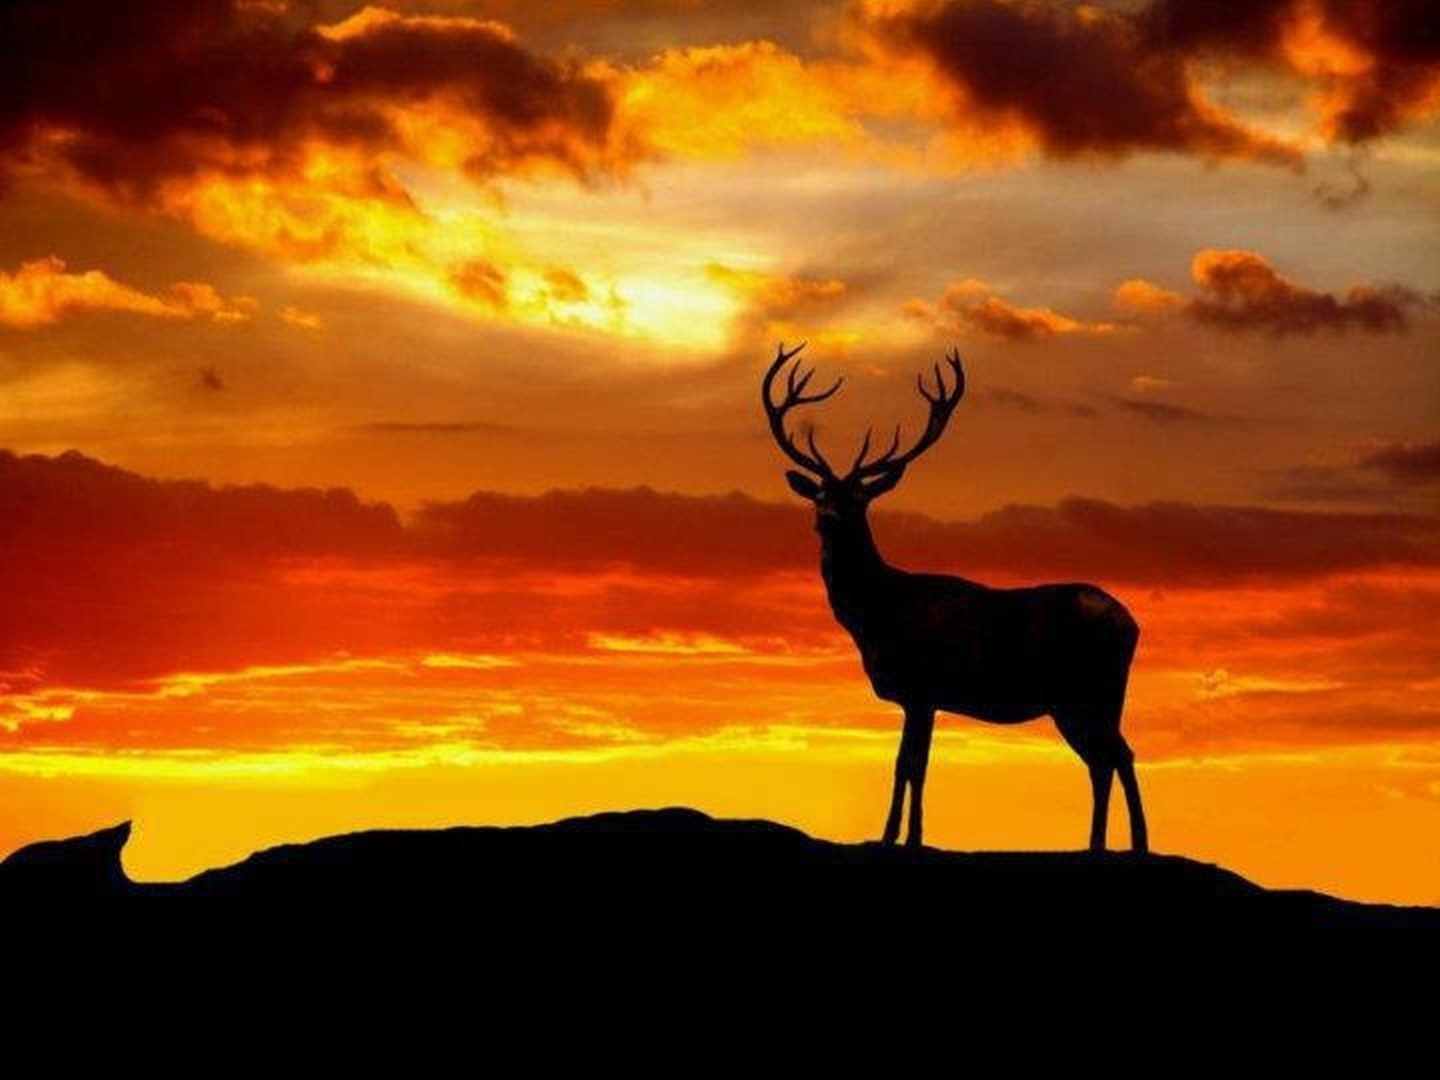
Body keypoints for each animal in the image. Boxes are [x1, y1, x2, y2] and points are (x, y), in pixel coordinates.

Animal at [761, 343, 1148, 854]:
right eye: (820, 494)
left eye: (860, 499)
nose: (827, 518)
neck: (878, 615)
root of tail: (1130, 623)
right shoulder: (919, 697)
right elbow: (910, 765)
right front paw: (901, 835)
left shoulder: (922, 687)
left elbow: (910, 766)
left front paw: (900, 837)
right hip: (1090, 697)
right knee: (1109, 757)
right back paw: (1109, 844)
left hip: (1084, 689)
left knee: (1113, 755)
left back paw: (1125, 843)